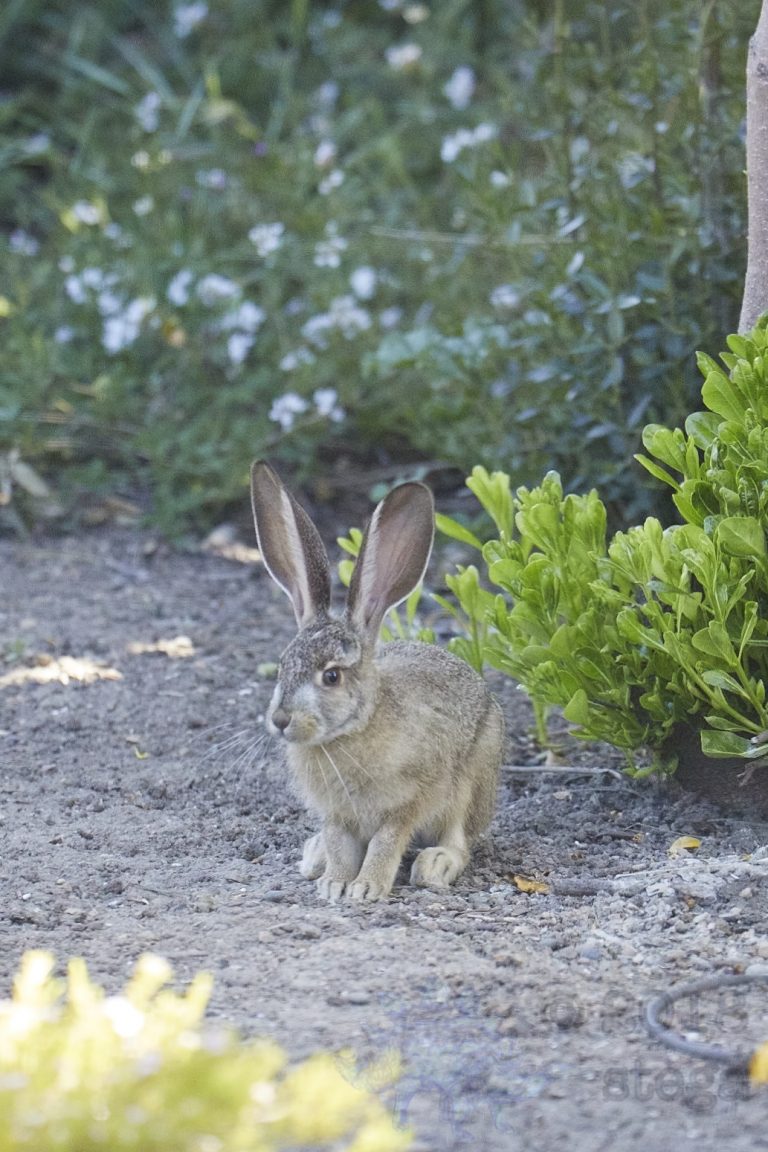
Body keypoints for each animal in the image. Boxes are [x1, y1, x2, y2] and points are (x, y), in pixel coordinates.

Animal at [250, 460, 503, 902]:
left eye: (332, 675)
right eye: (282, 666)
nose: (280, 721)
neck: (351, 732)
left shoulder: (411, 801)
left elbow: (387, 840)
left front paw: (366, 887)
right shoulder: (335, 813)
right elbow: (338, 841)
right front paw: (335, 882)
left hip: (473, 779)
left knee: (459, 841)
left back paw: (435, 866)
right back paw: (314, 857)